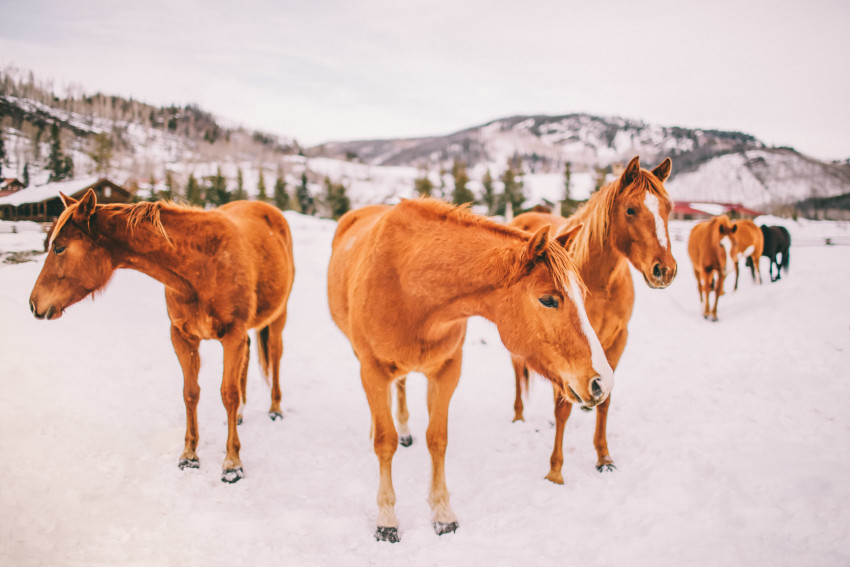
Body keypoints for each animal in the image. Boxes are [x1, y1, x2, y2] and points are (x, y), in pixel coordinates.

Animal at [28, 191, 294, 484]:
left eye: (59, 248)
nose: (33, 304)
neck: (202, 267)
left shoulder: (232, 335)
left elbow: (228, 394)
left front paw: (232, 463)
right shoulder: (182, 337)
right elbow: (190, 393)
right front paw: (189, 455)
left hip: (277, 318)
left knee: (275, 355)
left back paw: (275, 409)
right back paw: (241, 416)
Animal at [324, 199, 608, 540]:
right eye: (548, 300)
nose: (601, 383)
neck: (410, 291)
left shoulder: (448, 371)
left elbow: (437, 440)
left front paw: (443, 513)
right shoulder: (373, 370)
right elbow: (384, 442)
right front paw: (387, 520)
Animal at [504, 155, 676, 484]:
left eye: (668, 208)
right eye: (630, 210)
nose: (665, 270)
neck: (599, 282)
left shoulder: (617, 339)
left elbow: (605, 399)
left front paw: (604, 457)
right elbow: (561, 408)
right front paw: (555, 470)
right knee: (518, 371)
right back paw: (518, 415)